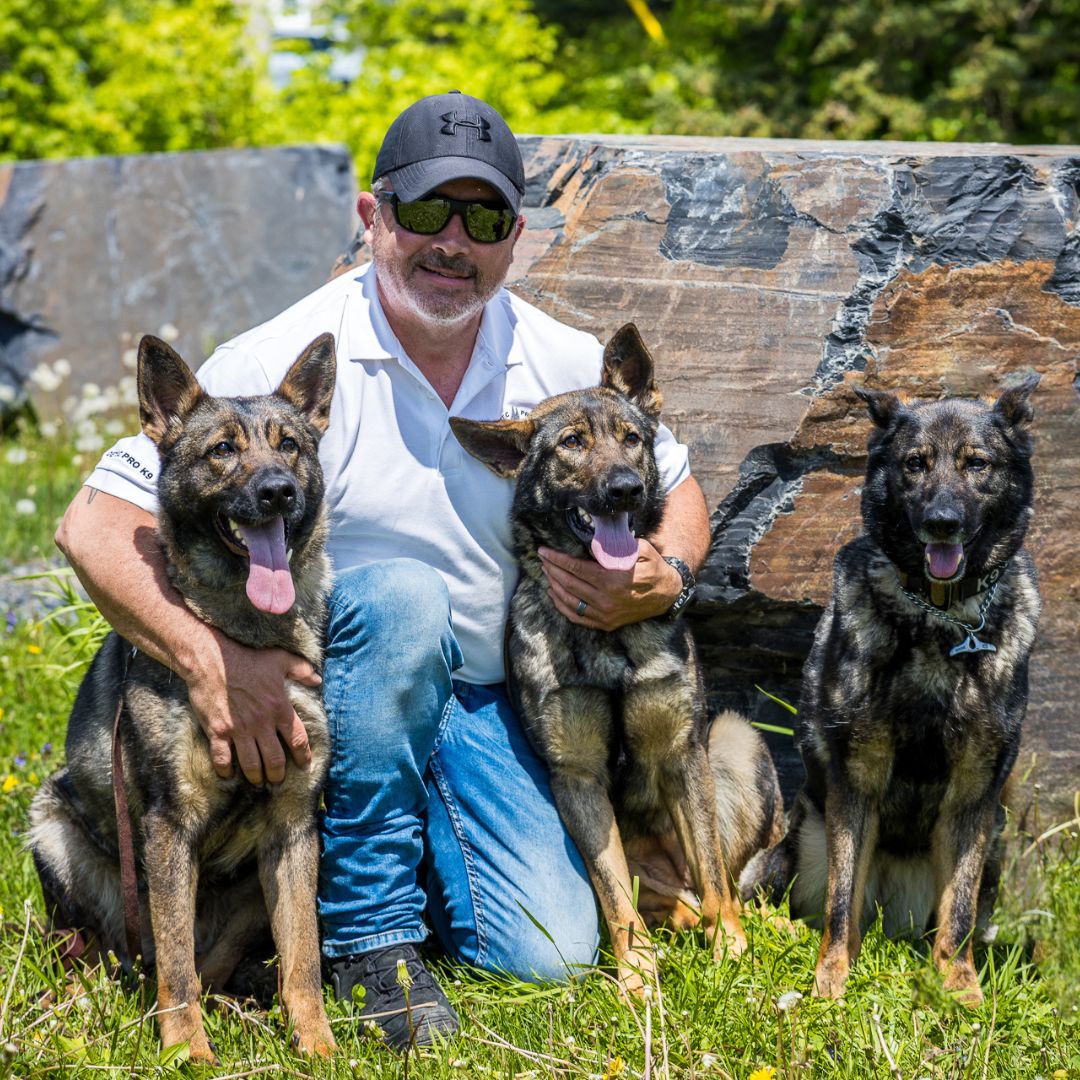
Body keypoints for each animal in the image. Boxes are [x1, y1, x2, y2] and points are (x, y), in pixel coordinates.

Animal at [28, 332, 336, 1058]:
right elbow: (173, 964)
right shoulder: (169, 826)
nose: (278, 492)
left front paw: (319, 1046)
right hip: (52, 829)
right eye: (222, 450)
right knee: (111, 952)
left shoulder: (293, 828)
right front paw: (186, 1051)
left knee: (212, 961)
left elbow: (303, 961)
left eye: (290, 446)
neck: (243, 637)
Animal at [451, 321, 781, 993]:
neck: (607, 639)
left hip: (737, 741)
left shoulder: (682, 751)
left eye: (632, 439)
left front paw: (729, 952)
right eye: (572, 444)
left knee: (726, 881)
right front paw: (635, 977)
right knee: (660, 900)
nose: (625, 488)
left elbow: (715, 878)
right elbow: (612, 890)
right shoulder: (576, 777)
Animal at [738, 378, 1041, 1002]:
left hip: (994, 840)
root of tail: (892, 918)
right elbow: (840, 901)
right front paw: (831, 980)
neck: (939, 623)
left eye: (977, 463)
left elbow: (959, 914)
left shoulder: (973, 797)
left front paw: (961, 988)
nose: (942, 522)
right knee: (794, 898)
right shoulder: (858, 781)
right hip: (804, 835)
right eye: (914, 464)